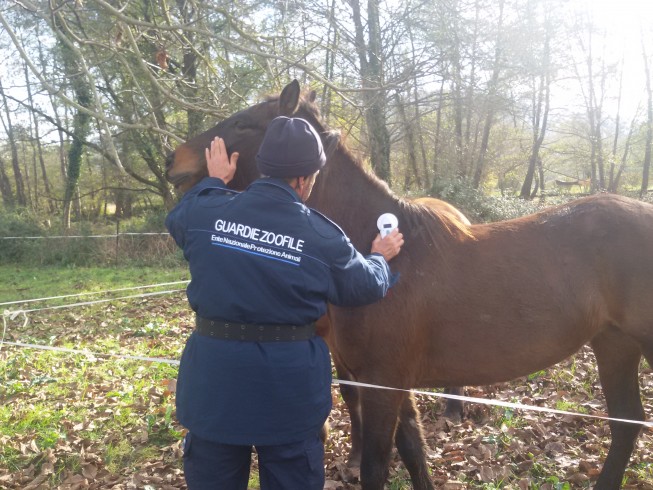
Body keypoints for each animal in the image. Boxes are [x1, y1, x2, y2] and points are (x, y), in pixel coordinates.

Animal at [166, 81, 648, 490]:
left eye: (244, 123)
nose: (175, 159)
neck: (382, 254)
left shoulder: (382, 382)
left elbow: (378, 467)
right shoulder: (391, 382)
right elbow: (414, 453)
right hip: (615, 344)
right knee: (627, 424)